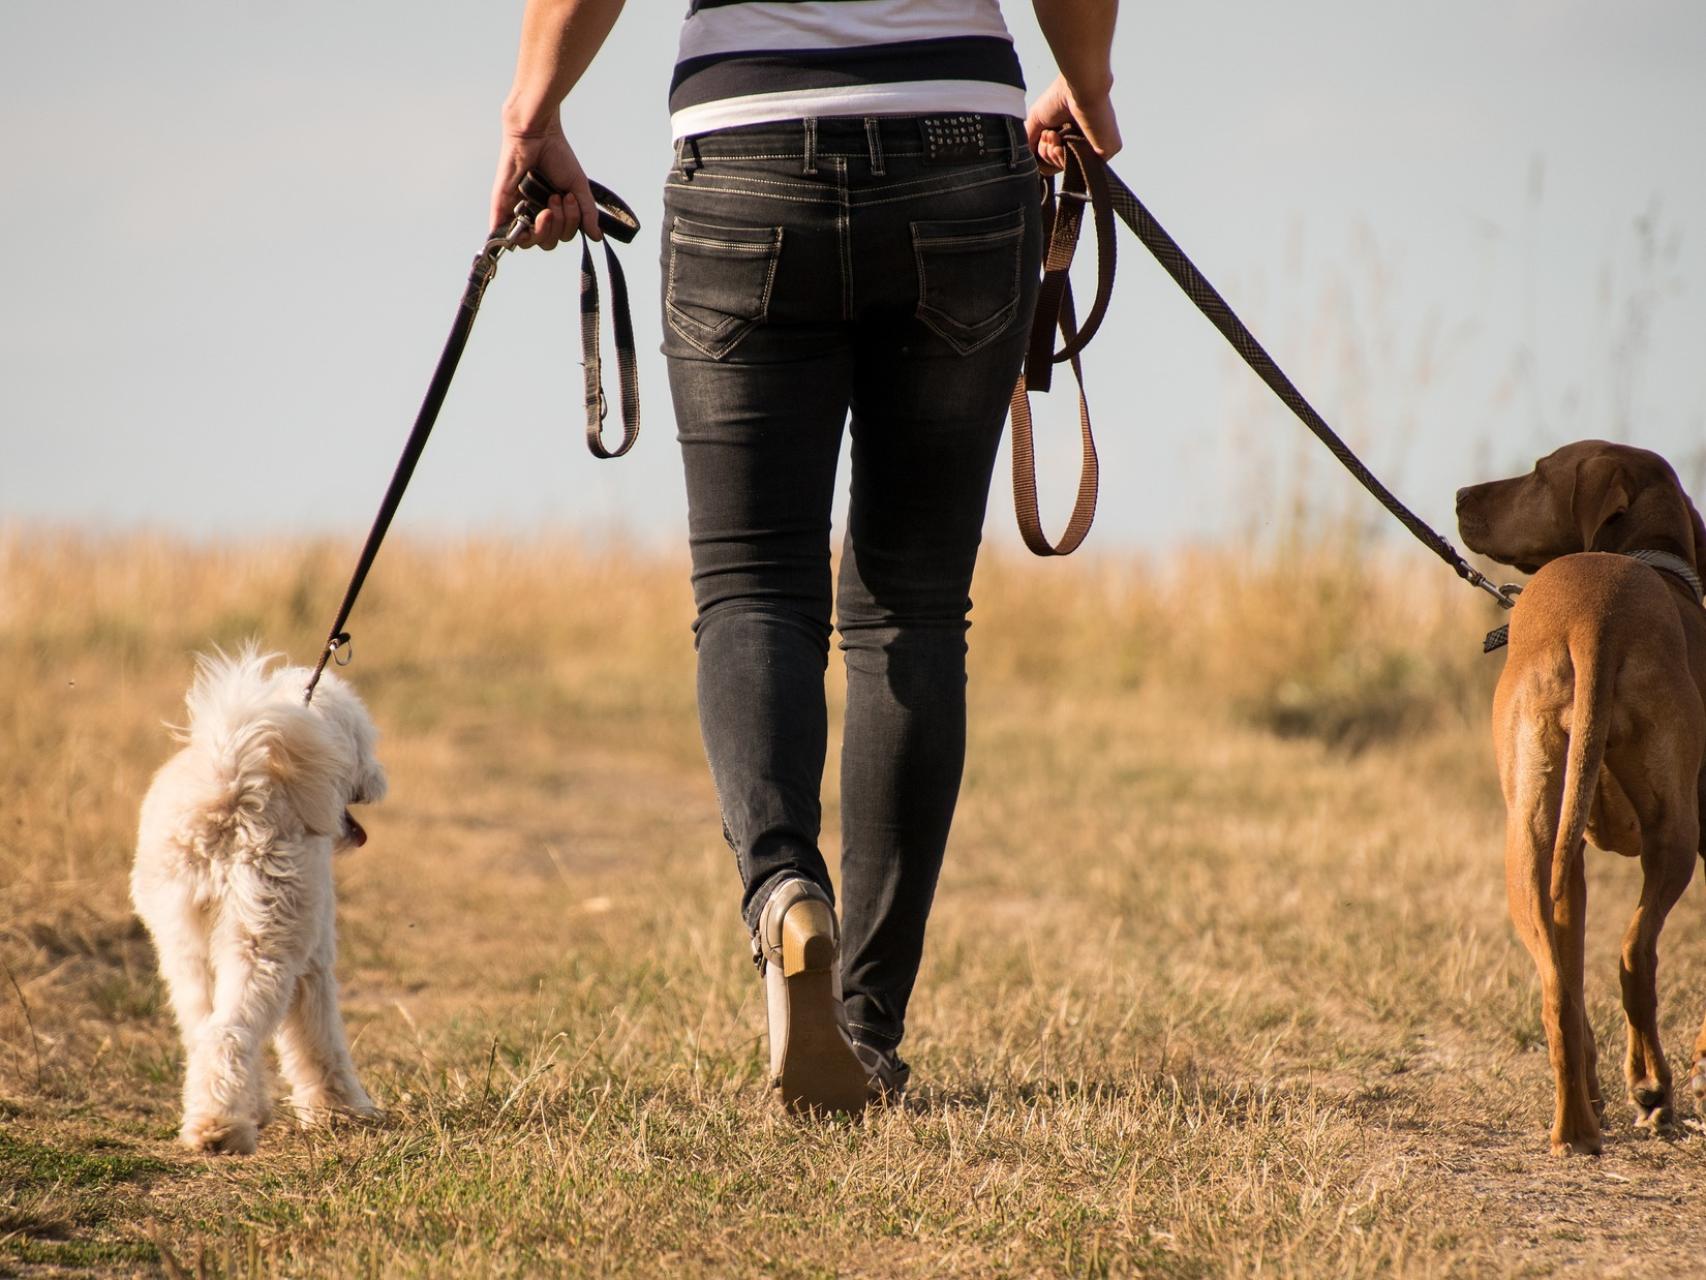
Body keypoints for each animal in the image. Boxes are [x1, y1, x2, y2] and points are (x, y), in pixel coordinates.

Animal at [133, 645, 387, 1160]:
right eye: (362, 743)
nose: (379, 778)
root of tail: (231, 780)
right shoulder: (314, 962)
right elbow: (319, 1041)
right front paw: (342, 1110)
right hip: (265, 940)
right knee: (229, 1032)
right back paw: (223, 1131)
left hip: (182, 945)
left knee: (203, 1030)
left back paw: (216, 1116)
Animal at [1453, 443, 1706, 1160]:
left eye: (1539, 473)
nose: (1458, 496)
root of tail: (1598, 615)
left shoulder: (1575, 857)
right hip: (1674, 835)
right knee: (1634, 956)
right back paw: (1653, 1090)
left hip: (1530, 840)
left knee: (1558, 987)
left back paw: (1577, 1127)